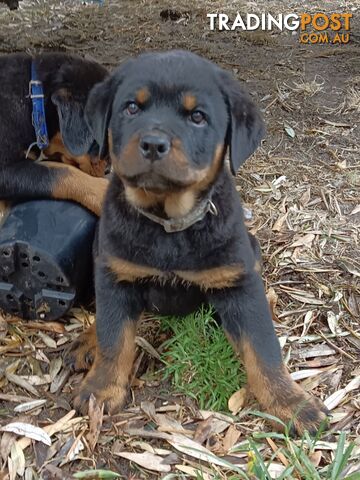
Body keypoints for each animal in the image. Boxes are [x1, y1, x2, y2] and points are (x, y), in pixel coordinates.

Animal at [68, 49, 330, 436]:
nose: (153, 143)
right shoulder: (117, 275)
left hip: (249, 251)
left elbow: (264, 349)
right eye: (131, 107)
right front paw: (101, 391)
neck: (169, 225)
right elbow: (114, 338)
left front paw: (292, 403)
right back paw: (88, 341)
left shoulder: (238, 284)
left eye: (197, 117)